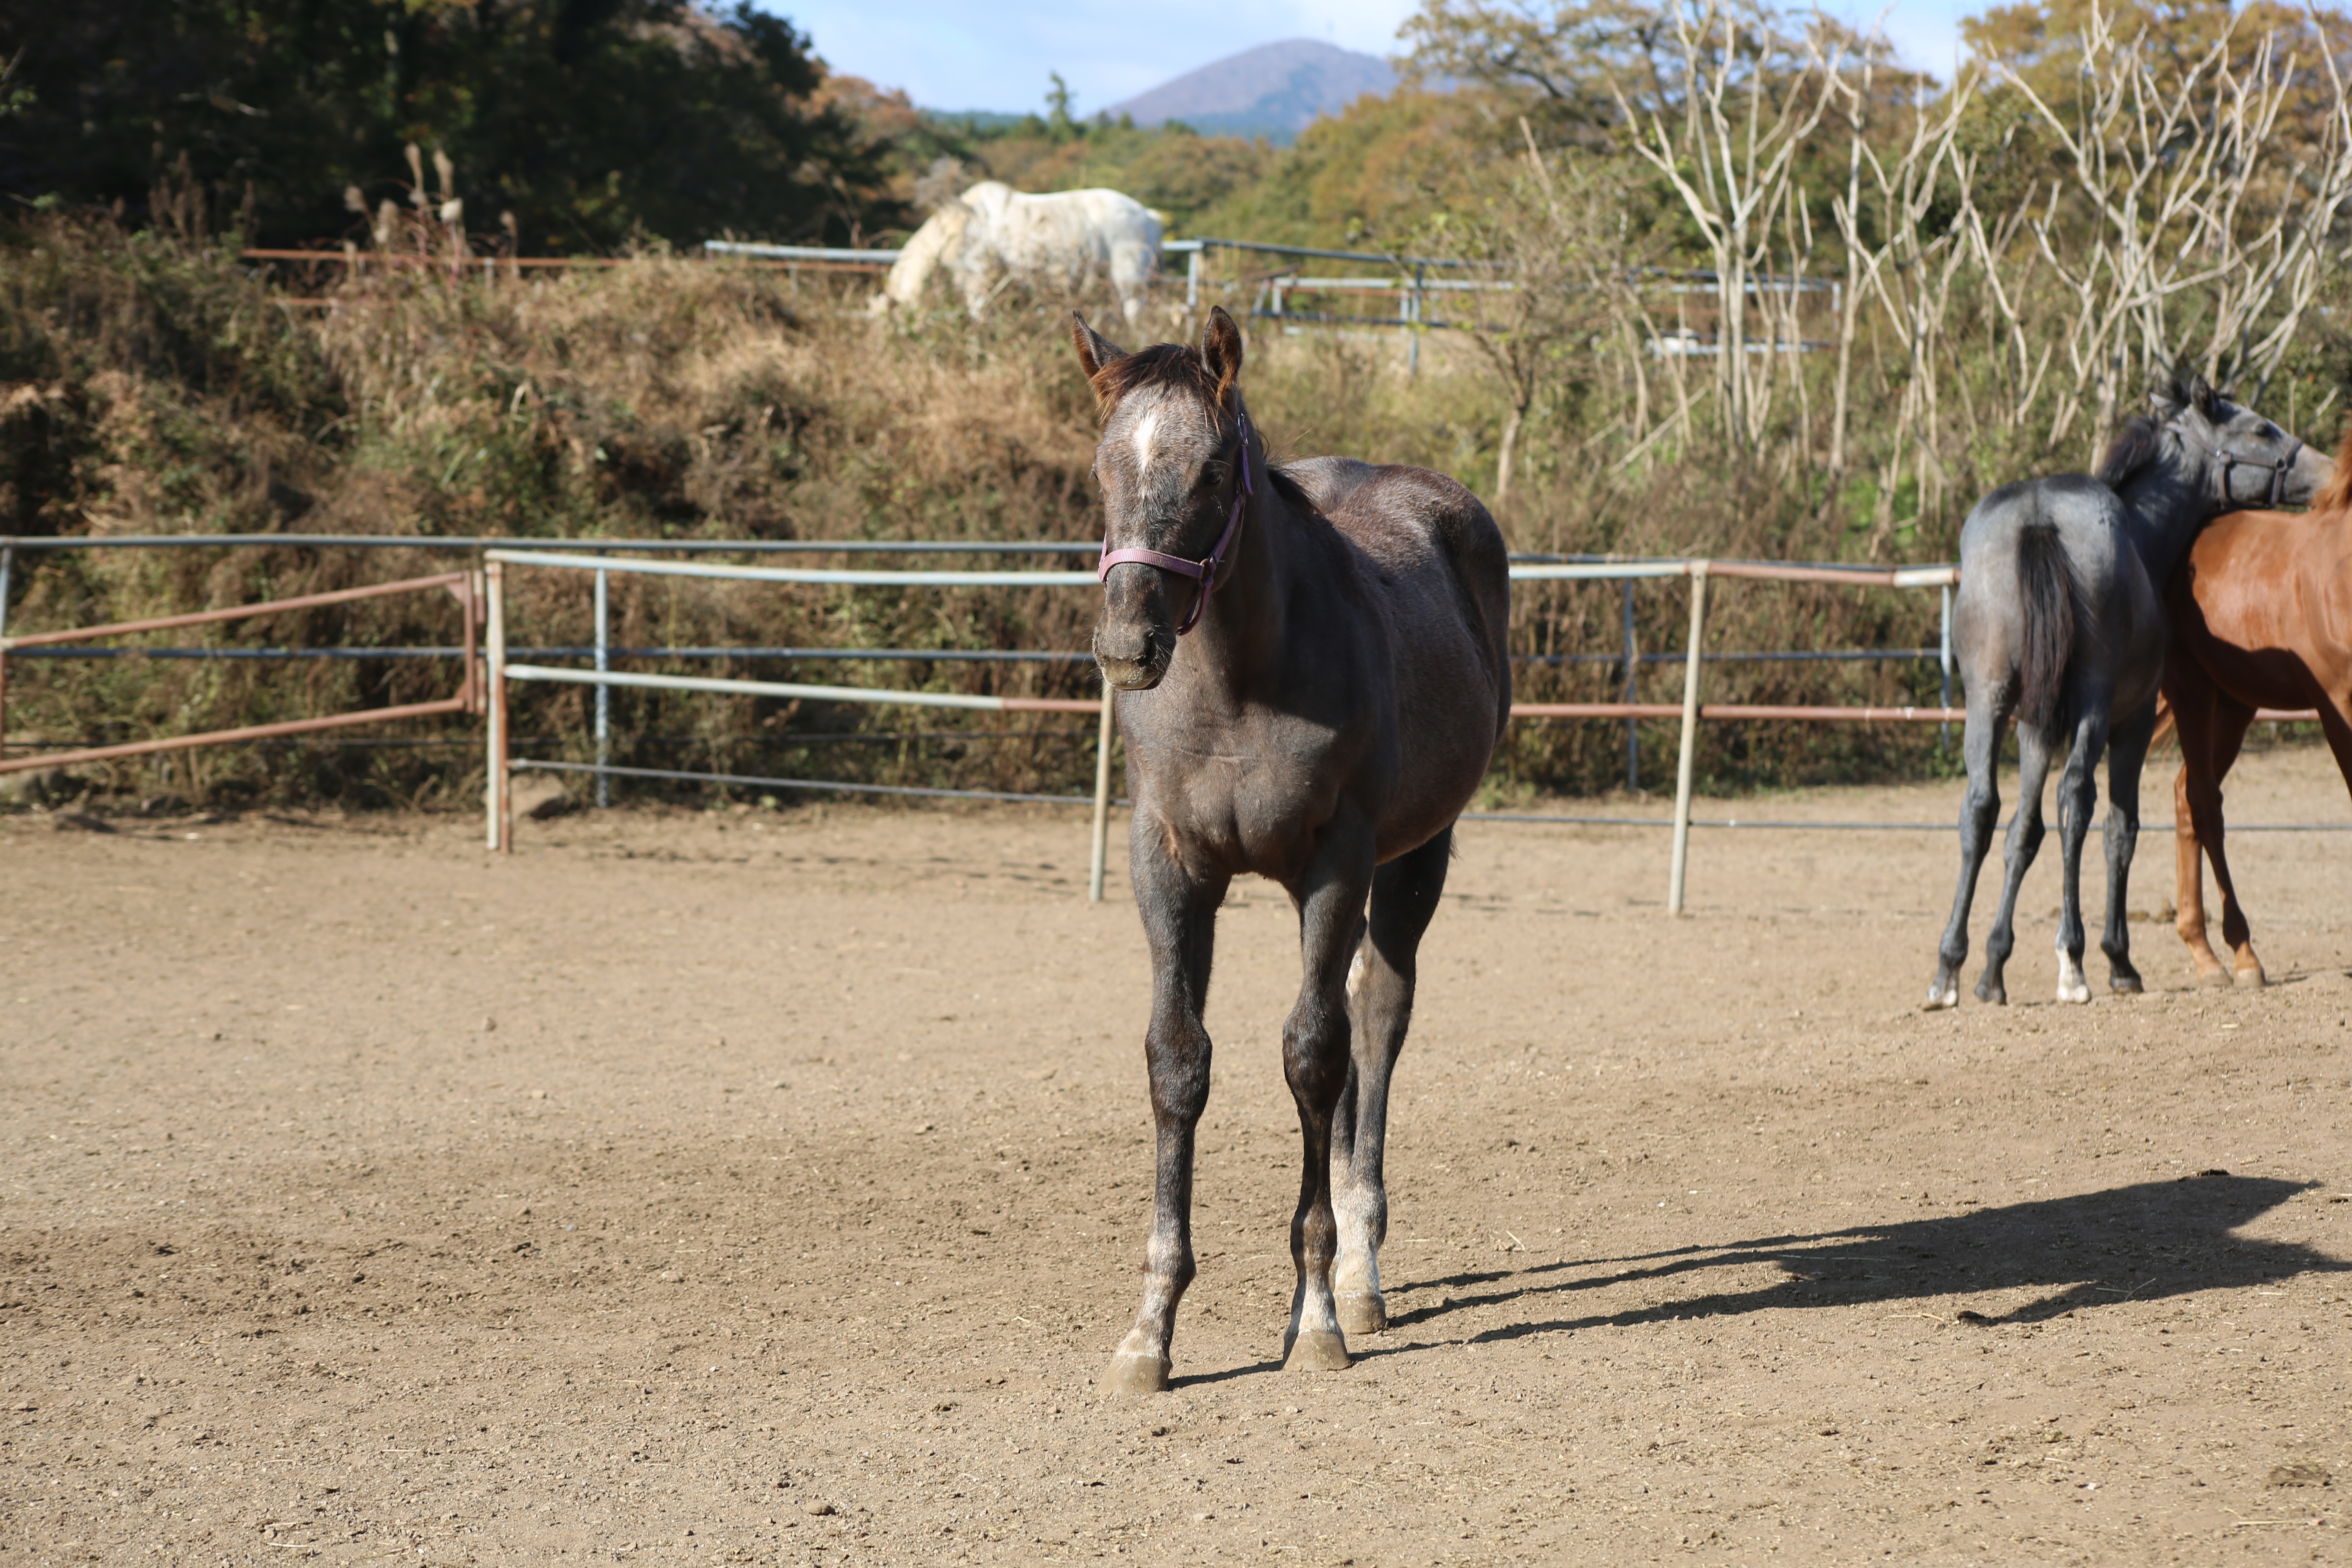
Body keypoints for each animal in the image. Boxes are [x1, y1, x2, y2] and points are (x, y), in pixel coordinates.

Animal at [880, 182, 1162, 327]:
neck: (963, 224)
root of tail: (1148, 214)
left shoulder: (977, 275)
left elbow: (978, 311)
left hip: (1129, 276)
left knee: (1134, 312)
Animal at [1077, 310, 1515, 1401]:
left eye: (1209, 471)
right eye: (1102, 466)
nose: (1125, 646)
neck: (1241, 684)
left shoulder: (1335, 862)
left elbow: (1314, 1057)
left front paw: (1313, 1314)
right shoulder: (1168, 865)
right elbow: (1176, 1060)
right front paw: (1150, 1329)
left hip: (1413, 859)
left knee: (1376, 1024)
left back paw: (1360, 1275)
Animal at [1919, 383, 2323, 1020]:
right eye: (2261, 429)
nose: (2325, 470)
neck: (2140, 531)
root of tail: (2039, 516)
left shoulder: (2035, 728)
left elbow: (2022, 832)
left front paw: (1993, 967)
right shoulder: (2128, 721)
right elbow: (2118, 827)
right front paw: (2115, 959)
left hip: (1987, 701)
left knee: (1980, 809)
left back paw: (1948, 971)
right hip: (2094, 701)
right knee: (2078, 800)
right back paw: (2075, 962)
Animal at [2164, 425, 2352, 992]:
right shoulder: (2336, 708)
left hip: (2235, 706)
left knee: (2185, 795)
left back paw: (2205, 950)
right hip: (2193, 691)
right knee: (2204, 802)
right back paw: (2237, 955)